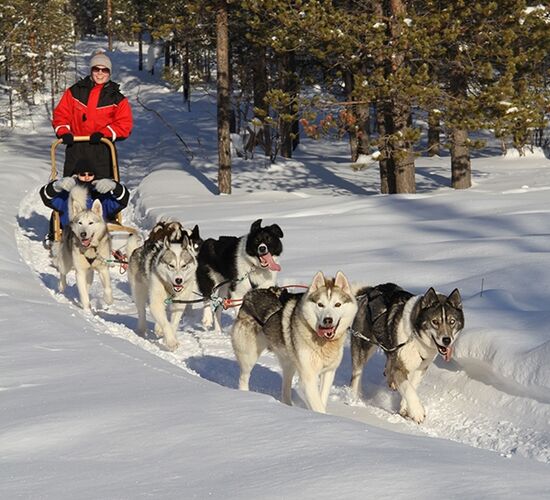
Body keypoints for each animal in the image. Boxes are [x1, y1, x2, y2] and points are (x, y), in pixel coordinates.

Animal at [126, 221, 199, 351]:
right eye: (171, 265)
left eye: (184, 265)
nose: (179, 280)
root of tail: (138, 250)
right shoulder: (156, 301)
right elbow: (165, 323)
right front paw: (171, 341)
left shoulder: (179, 304)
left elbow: (173, 323)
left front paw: (167, 336)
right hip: (139, 291)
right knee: (142, 311)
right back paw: (142, 330)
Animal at [231, 271, 357, 414]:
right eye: (320, 304)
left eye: (338, 304)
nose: (328, 320)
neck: (321, 341)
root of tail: (250, 294)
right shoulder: (308, 377)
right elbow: (317, 405)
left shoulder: (329, 372)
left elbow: (322, 398)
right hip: (249, 356)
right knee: (244, 377)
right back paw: (246, 396)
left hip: (289, 363)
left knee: (285, 387)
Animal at [349, 283, 464, 423]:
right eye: (435, 322)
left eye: (452, 321)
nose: (447, 340)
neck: (415, 336)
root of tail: (370, 290)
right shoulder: (400, 368)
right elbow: (409, 389)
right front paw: (417, 412)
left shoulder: (421, 368)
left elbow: (411, 386)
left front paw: (405, 408)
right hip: (364, 347)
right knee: (357, 374)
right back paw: (353, 398)